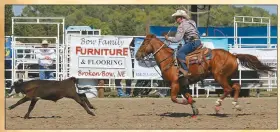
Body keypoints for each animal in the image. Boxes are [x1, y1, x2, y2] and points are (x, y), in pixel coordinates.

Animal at [135, 34, 274, 116]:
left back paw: (217, 105)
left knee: (228, 89)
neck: (169, 60)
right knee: (236, 86)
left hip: (219, 76)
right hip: (227, 77)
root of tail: (233, 55)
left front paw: (186, 103)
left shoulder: (174, 83)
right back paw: (236, 105)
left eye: (143, 43)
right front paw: (194, 109)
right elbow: (188, 96)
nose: (137, 55)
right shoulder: (182, 84)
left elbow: (174, 98)